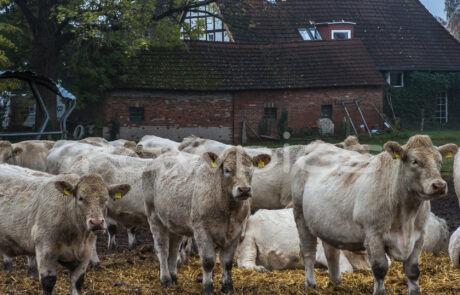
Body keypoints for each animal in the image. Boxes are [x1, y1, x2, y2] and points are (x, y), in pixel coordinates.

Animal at [0, 164, 130, 295]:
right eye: (80, 198)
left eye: (106, 199)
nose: (96, 223)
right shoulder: (45, 251)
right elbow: (48, 283)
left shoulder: (84, 255)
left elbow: (77, 283)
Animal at [143, 147, 270, 294]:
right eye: (227, 170)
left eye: (250, 169)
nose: (244, 189)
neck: (228, 210)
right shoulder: (201, 229)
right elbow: (208, 261)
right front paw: (208, 287)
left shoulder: (237, 231)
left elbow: (227, 261)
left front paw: (227, 287)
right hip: (153, 216)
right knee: (162, 249)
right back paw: (165, 279)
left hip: (174, 222)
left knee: (173, 249)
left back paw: (173, 277)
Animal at [292, 136, 456, 295]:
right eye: (414, 161)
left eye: (439, 161)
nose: (439, 185)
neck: (406, 214)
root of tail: (316, 147)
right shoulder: (373, 236)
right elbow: (380, 268)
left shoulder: (419, 237)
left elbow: (413, 270)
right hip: (300, 215)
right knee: (308, 251)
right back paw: (310, 284)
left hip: (327, 225)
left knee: (331, 252)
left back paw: (336, 283)